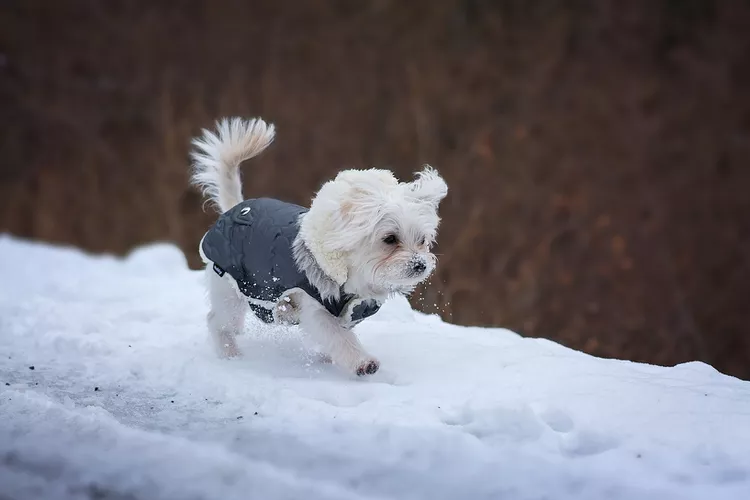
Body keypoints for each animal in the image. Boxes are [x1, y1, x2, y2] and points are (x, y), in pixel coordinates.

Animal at [189, 117, 446, 376]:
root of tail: (234, 208)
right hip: (229, 289)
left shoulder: (347, 312)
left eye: (422, 240)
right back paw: (230, 354)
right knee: (217, 322)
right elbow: (339, 337)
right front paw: (362, 362)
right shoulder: (316, 308)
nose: (420, 265)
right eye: (390, 239)